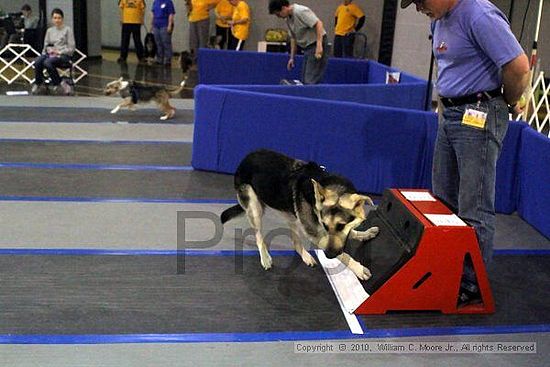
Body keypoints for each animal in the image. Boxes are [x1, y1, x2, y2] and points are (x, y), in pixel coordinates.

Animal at [220, 150, 380, 282]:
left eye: (341, 225)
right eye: (325, 225)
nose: (328, 255)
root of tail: (244, 160)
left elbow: (351, 233)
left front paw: (365, 234)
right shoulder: (315, 233)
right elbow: (343, 254)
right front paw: (358, 268)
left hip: (290, 214)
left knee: (295, 241)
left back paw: (304, 255)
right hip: (254, 206)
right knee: (259, 235)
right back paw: (265, 257)